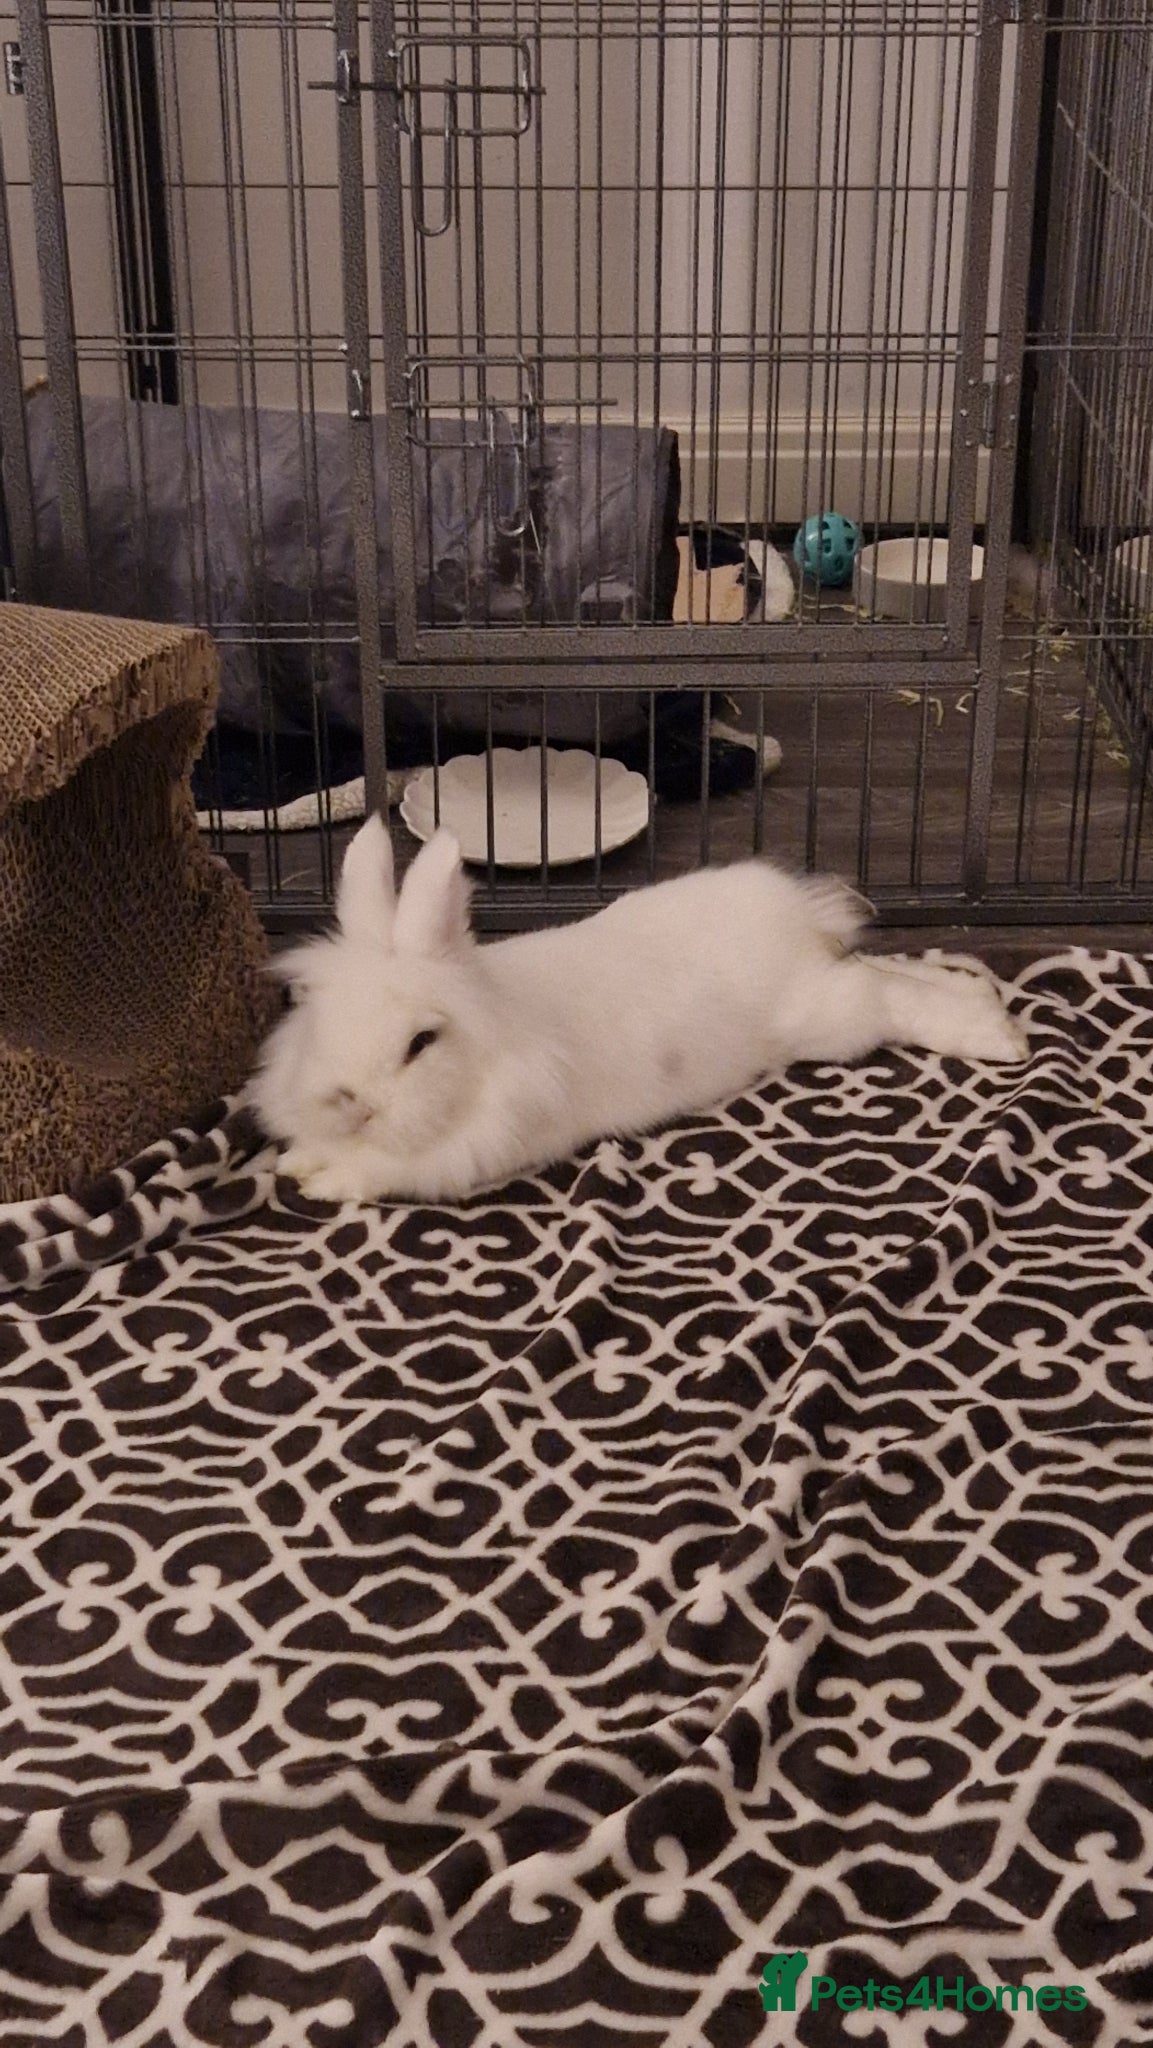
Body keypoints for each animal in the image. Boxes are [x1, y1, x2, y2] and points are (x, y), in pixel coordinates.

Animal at [249, 813, 1029, 1205]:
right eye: (316, 1013)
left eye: (420, 1043)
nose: (349, 1102)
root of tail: (799, 918)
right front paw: (297, 1161)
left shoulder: (468, 1150)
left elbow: (381, 1173)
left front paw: (321, 1179)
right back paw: (983, 1000)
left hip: (827, 1020)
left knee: (882, 997)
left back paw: (999, 1037)